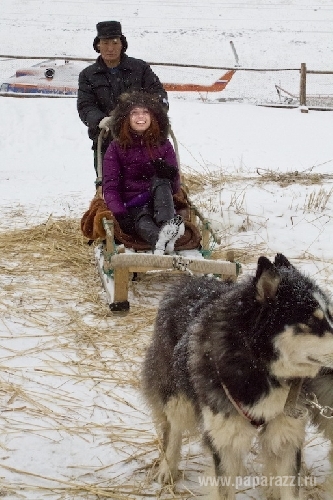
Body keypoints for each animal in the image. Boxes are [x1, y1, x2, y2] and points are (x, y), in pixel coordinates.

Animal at [141, 254, 332, 500]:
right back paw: (167, 468)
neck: (259, 370)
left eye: (331, 316)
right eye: (311, 322)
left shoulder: (287, 435)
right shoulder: (224, 442)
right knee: (172, 430)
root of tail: (187, 282)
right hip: (178, 398)